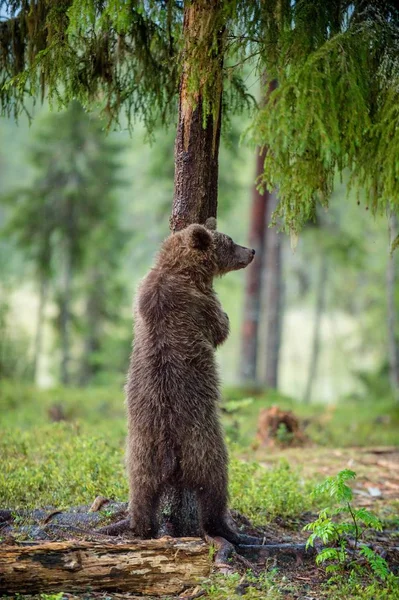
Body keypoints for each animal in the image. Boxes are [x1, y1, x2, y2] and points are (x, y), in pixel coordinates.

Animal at [126, 217, 255, 544]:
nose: (252, 251)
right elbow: (218, 328)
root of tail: (169, 450)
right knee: (214, 486)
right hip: (203, 444)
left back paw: (143, 528)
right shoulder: (198, 304)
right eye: (230, 241)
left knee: (141, 493)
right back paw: (226, 529)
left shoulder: (141, 294)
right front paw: (227, 318)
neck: (179, 270)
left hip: (140, 452)